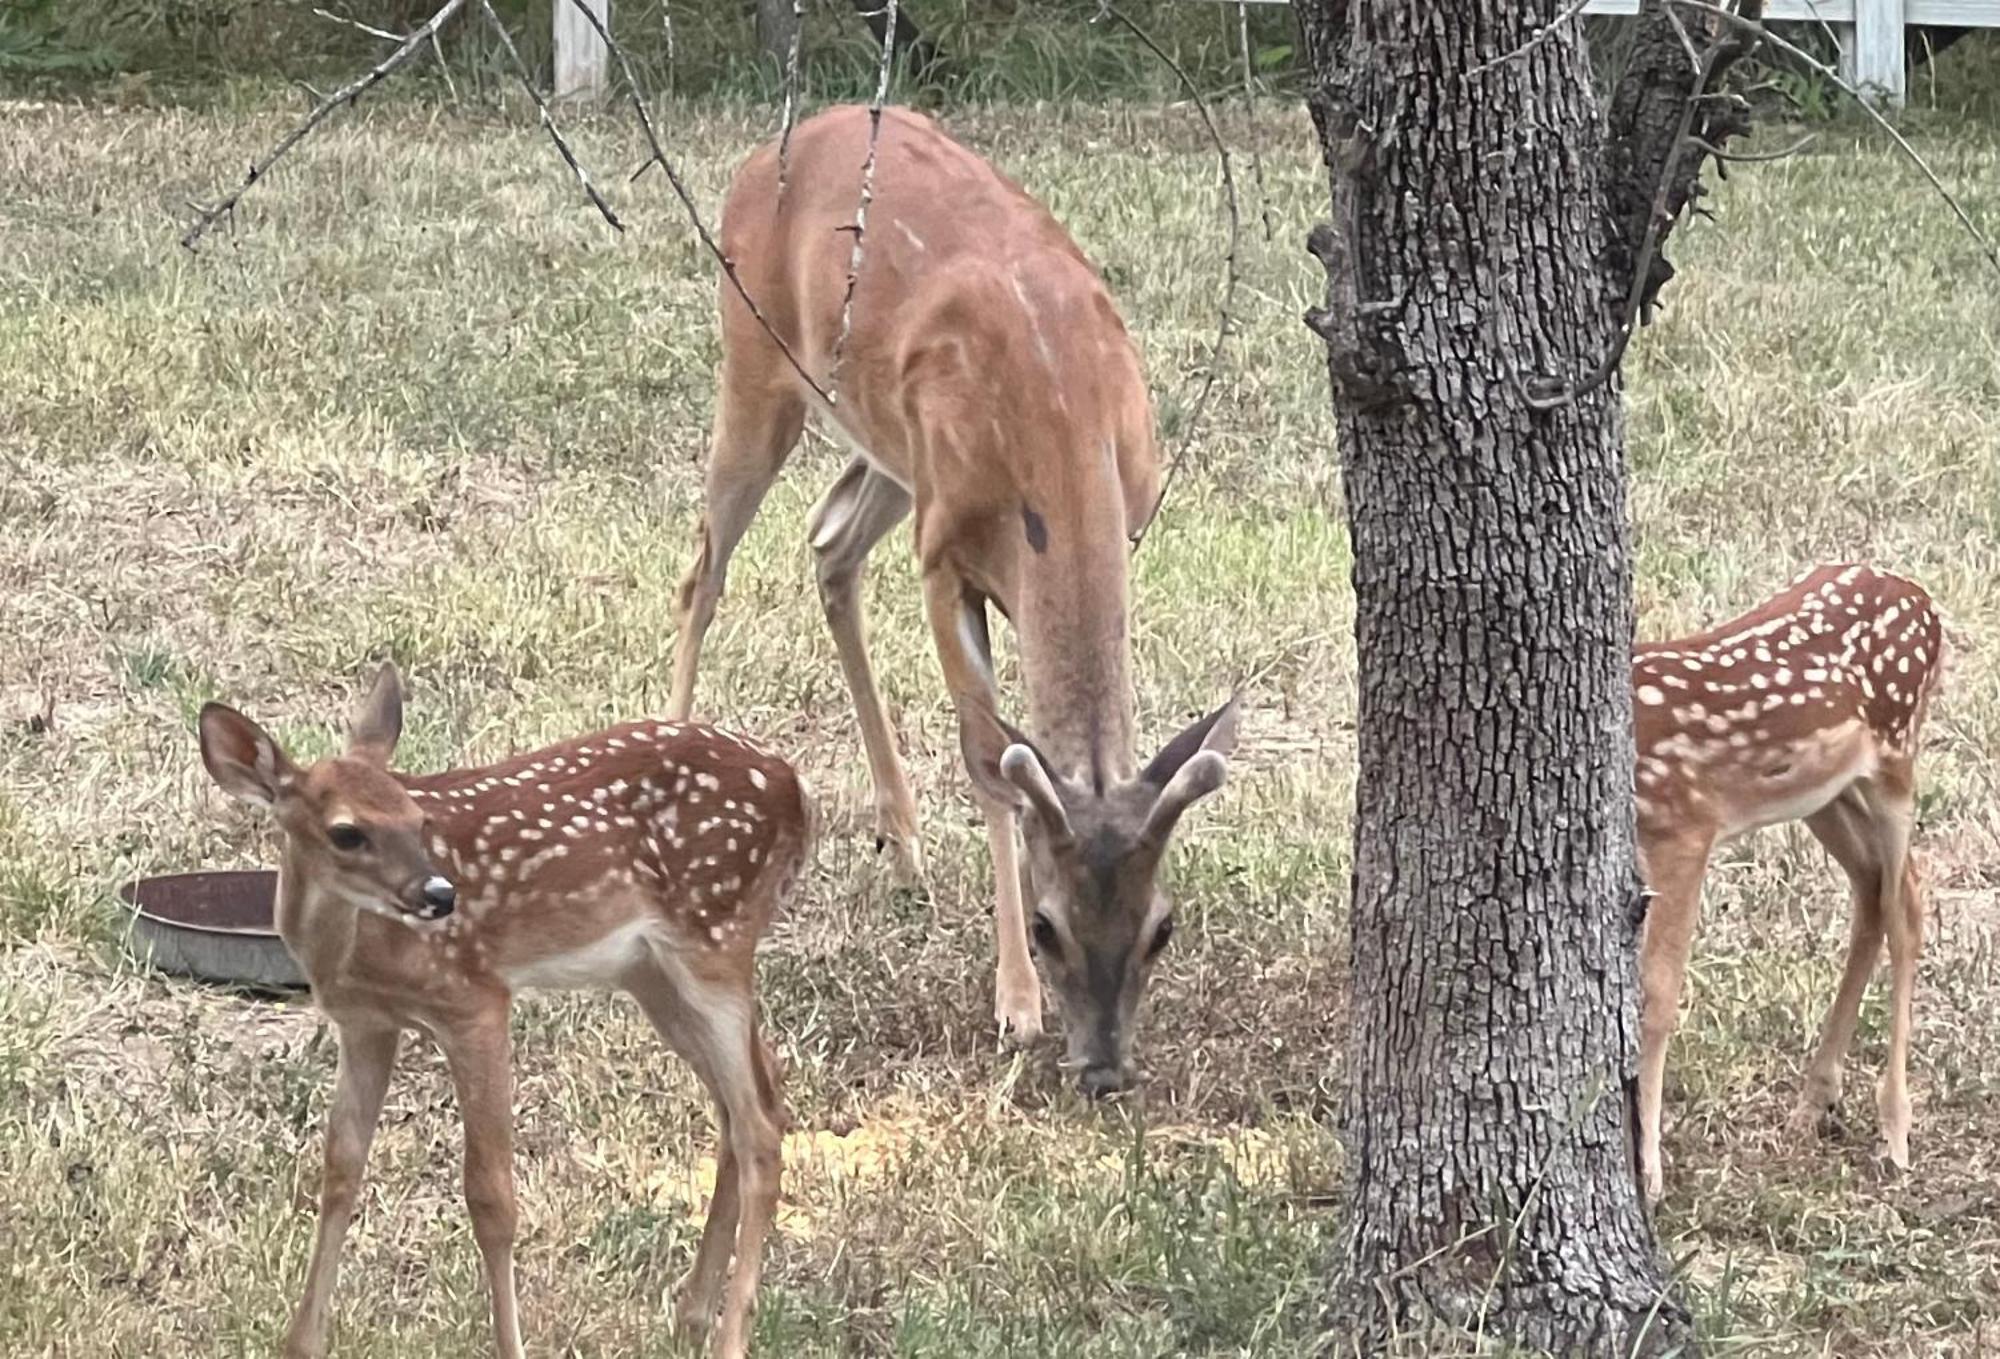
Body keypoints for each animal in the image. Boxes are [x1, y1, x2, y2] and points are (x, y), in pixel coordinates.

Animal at [193, 667, 804, 1359]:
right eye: (347, 832)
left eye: (418, 818)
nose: (440, 895)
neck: (353, 951)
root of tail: (794, 785)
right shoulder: (366, 1023)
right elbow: (340, 1169)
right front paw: (302, 1342)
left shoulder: (475, 1001)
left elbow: (491, 1197)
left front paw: (510, 1343)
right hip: (653, 973)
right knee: (753, 1094)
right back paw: (691, 1317)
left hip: (714, 939)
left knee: (759, 1125)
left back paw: (728, 1336)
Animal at [672, 103, 1232, 1095]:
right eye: (1049, 927)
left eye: (1163, 926)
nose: (1104, 1068)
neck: (1059, 421)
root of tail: (767, 150)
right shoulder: (945, 558)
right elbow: (988, 762)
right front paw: (1014, 1003)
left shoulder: (1120, 521)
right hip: (756, 362)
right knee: (704, 567)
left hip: (890, 452)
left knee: (828, 541)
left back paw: (903, 843)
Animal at [1632, 563, 1944, 1199]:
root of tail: (1922, 598)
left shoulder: (1684, 827)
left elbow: (1658, 994)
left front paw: (1649, 1171)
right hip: (1824, 793)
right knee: (1872, 890)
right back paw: (1815, 1101)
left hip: (1897, 752)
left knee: (1906, 906)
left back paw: (1895, 1132)